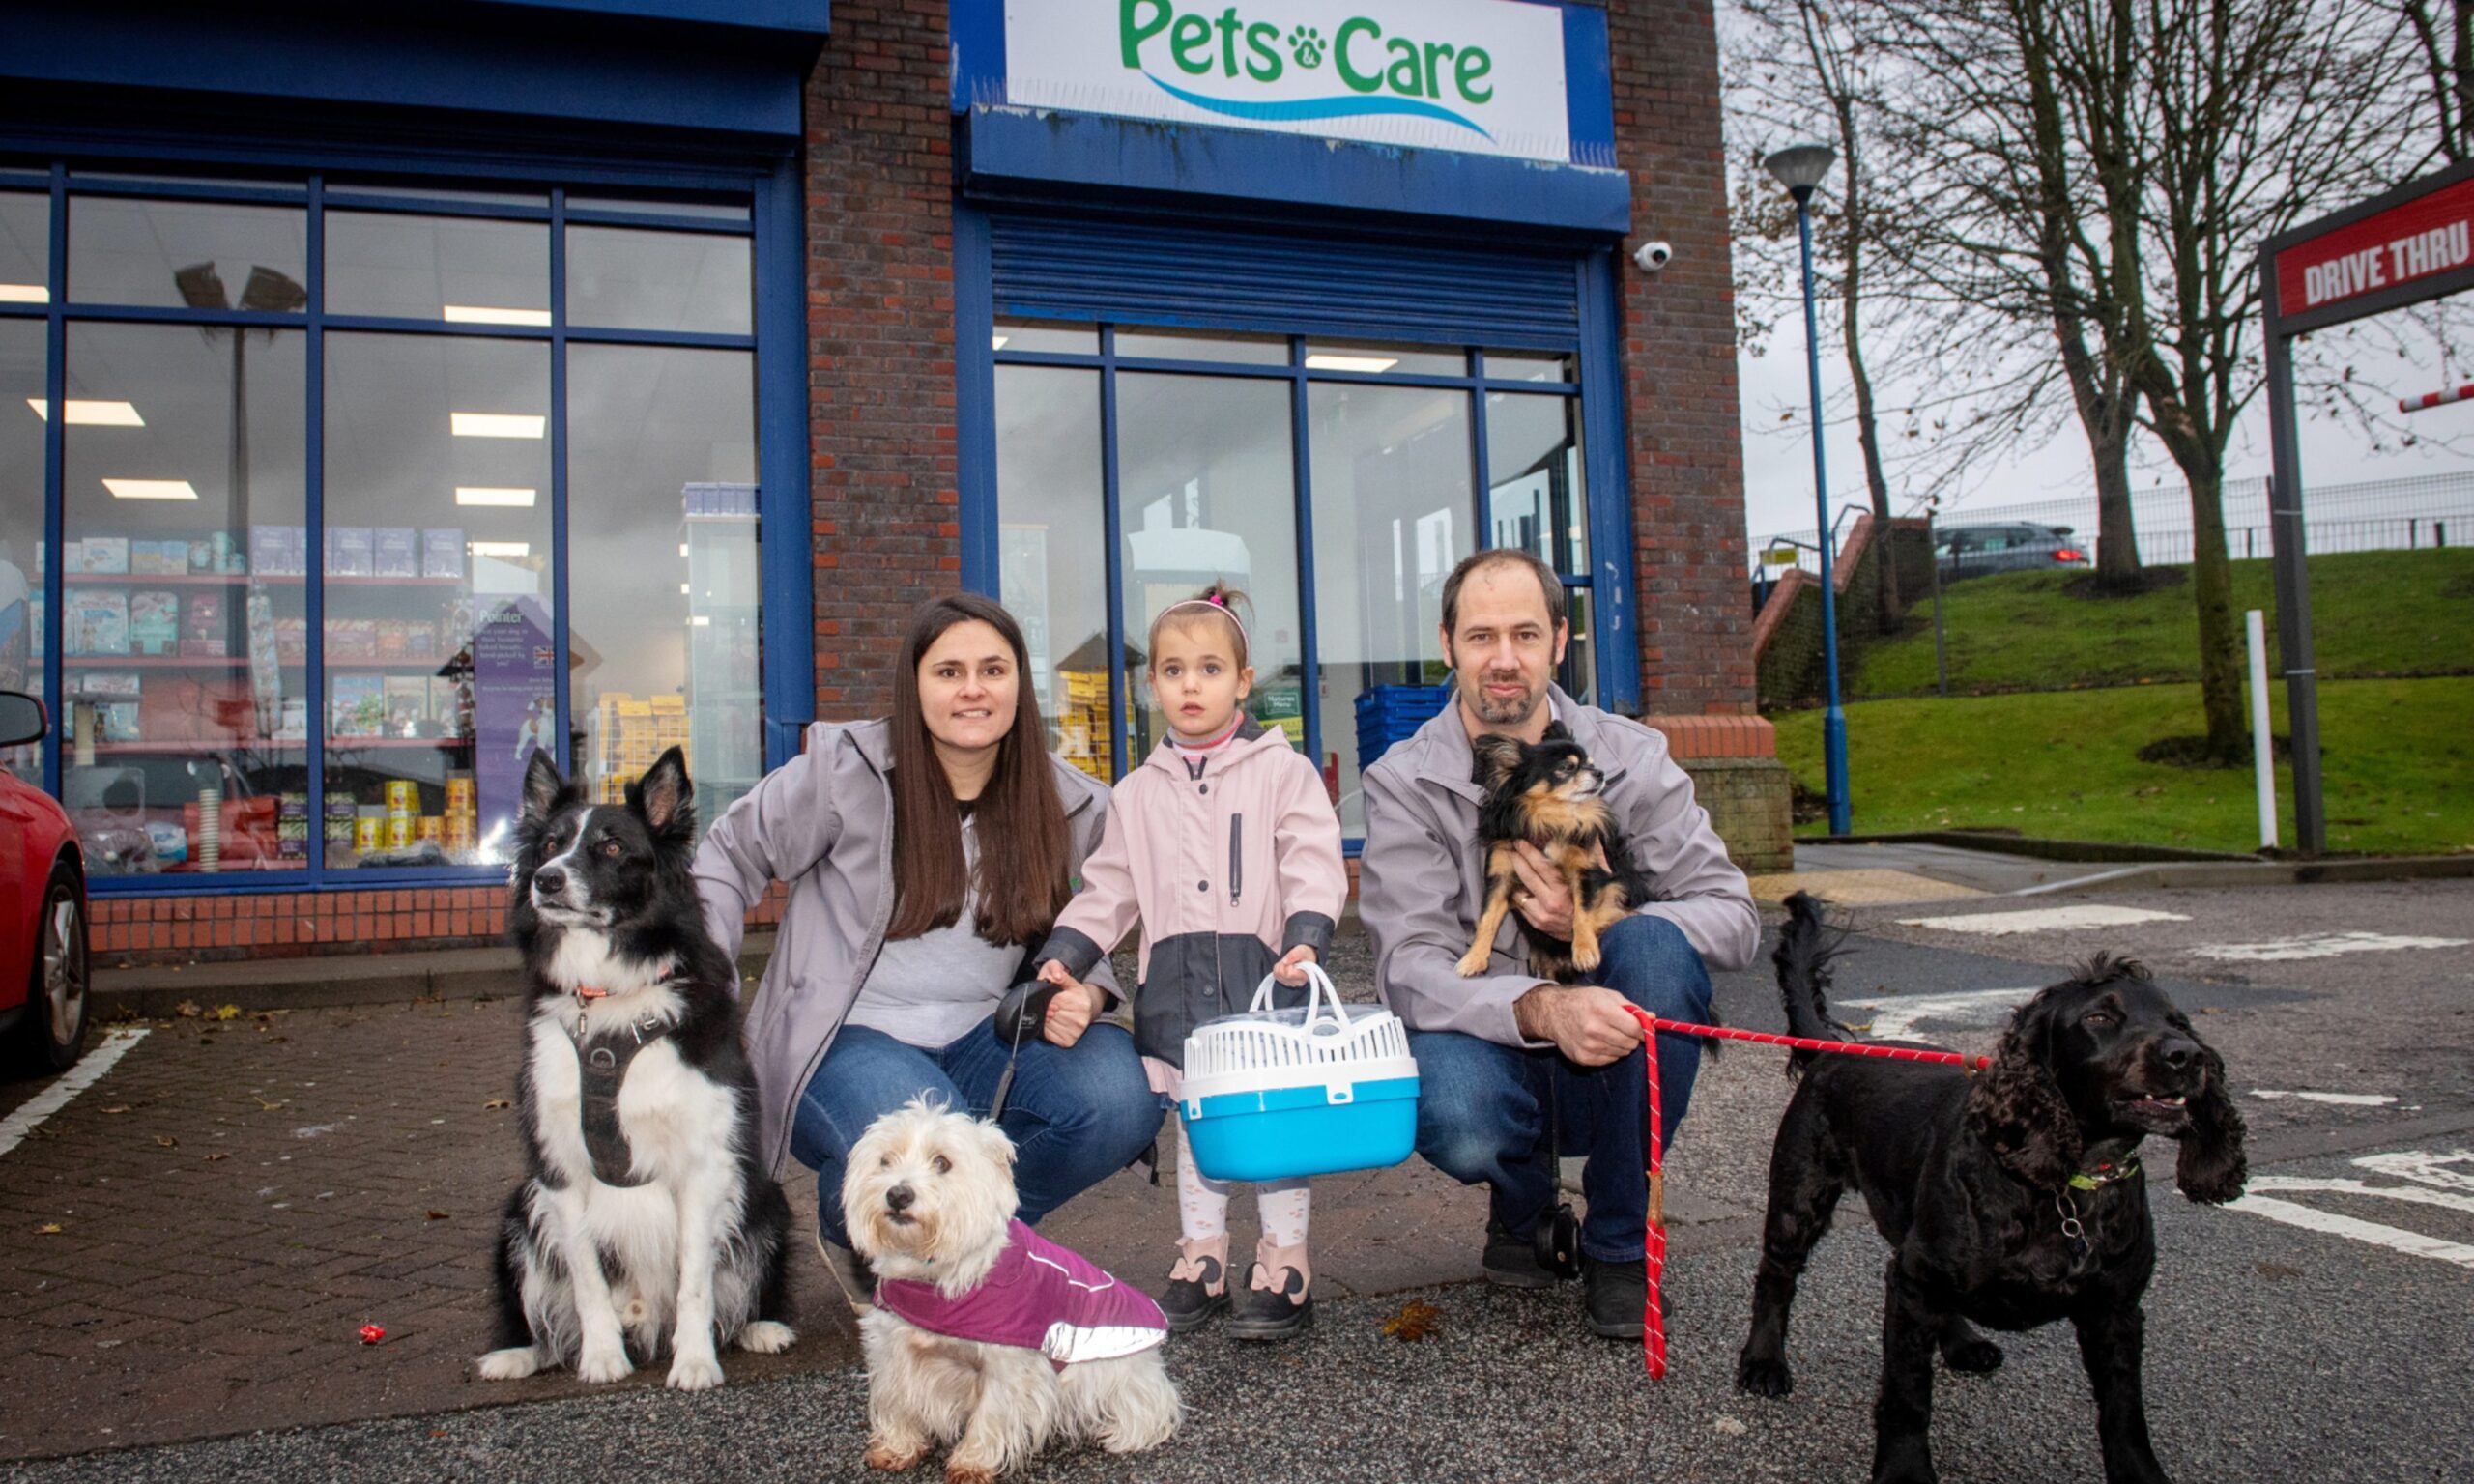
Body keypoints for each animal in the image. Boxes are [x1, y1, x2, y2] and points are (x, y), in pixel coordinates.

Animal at [846, 1093, 1182, 1473]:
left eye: (942, 1162)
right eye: (884, 1160)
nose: (898, 1195)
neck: (933, 1274)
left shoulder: (1007, 1363)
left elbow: (992, 1413)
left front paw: (972, 1463)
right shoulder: (893, 1346)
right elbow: (895, 1398)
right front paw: (896, 1448)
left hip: (1113, 1371)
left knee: (1148, 1407)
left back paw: (1121, 1434)